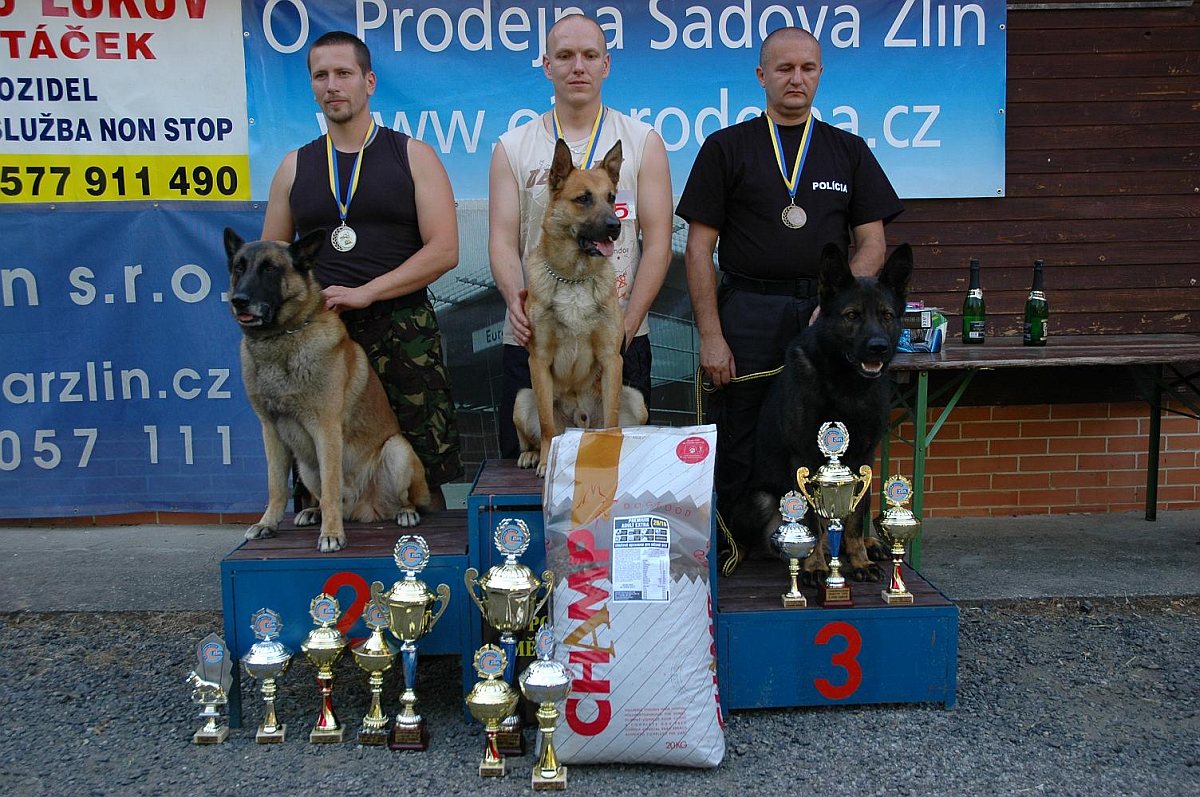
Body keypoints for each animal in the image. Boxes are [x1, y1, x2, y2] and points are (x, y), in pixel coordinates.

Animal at [223, 228, 431, 553]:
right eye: (238, 268)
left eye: (270, 269)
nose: (239, 300)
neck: (282, 336)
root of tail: (364, 510)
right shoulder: (271, 431)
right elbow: (275, 486)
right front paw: (268, 523)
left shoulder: (327, 430)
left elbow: (332, 486)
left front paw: (331, 534)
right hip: (305, 466)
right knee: (322, 496)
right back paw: (313, 511)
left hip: (397, 449)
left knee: (403, 499)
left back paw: (404, 512)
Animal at [729, 242, 912, 584]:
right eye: (852, 315)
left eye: (886, 316)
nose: (878, 347)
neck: (846, 386)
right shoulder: (804, 459)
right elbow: (813, 520)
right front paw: (815, 566)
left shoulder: (864, 459)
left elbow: (855, 517)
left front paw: (860, 561)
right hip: (760, 500)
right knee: (753, 539)